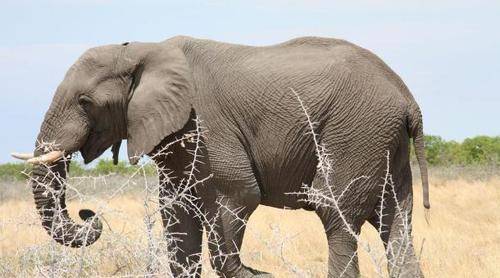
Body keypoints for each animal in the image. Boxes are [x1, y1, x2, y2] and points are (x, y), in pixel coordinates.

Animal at [14, 36, 430, 278]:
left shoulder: (206, 123)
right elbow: (176, 213)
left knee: (335, 214)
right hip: (383, 142)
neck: (142, 50)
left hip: (356, 130)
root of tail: (409, 100)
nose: (89, 213)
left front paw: (255, 273)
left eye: (85, 102)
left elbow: (239, 195)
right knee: (397, 223)